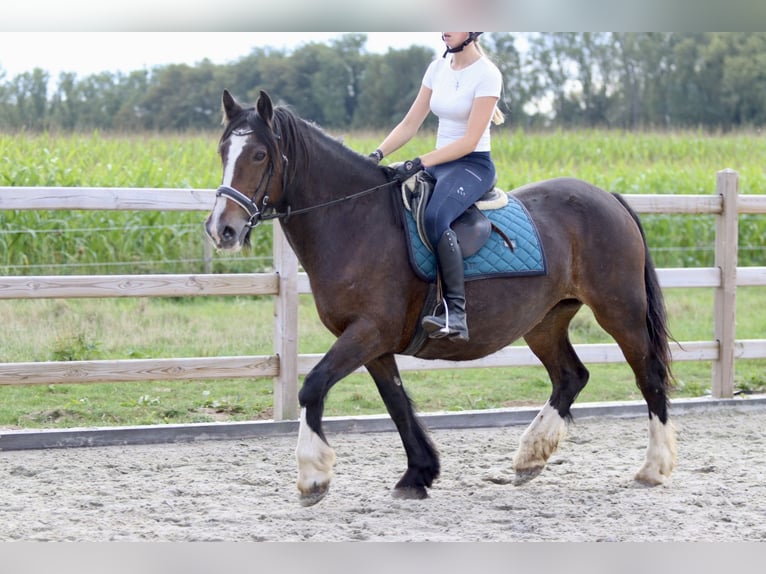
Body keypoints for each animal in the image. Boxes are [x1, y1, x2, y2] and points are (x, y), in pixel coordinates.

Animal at [204, 90, 680, 508]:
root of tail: (608, 197)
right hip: (544, 321)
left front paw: (312, 478)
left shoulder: (368, 332)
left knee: (649, 376)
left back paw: (653, 468)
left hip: (620, 311)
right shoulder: (373, 343)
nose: (221, 230)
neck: (356, 221)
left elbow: (312, 386)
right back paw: (530, 457)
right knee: (571, 376)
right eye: (223, 150)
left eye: (259, 155)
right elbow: (396, 403)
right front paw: (418, 474)